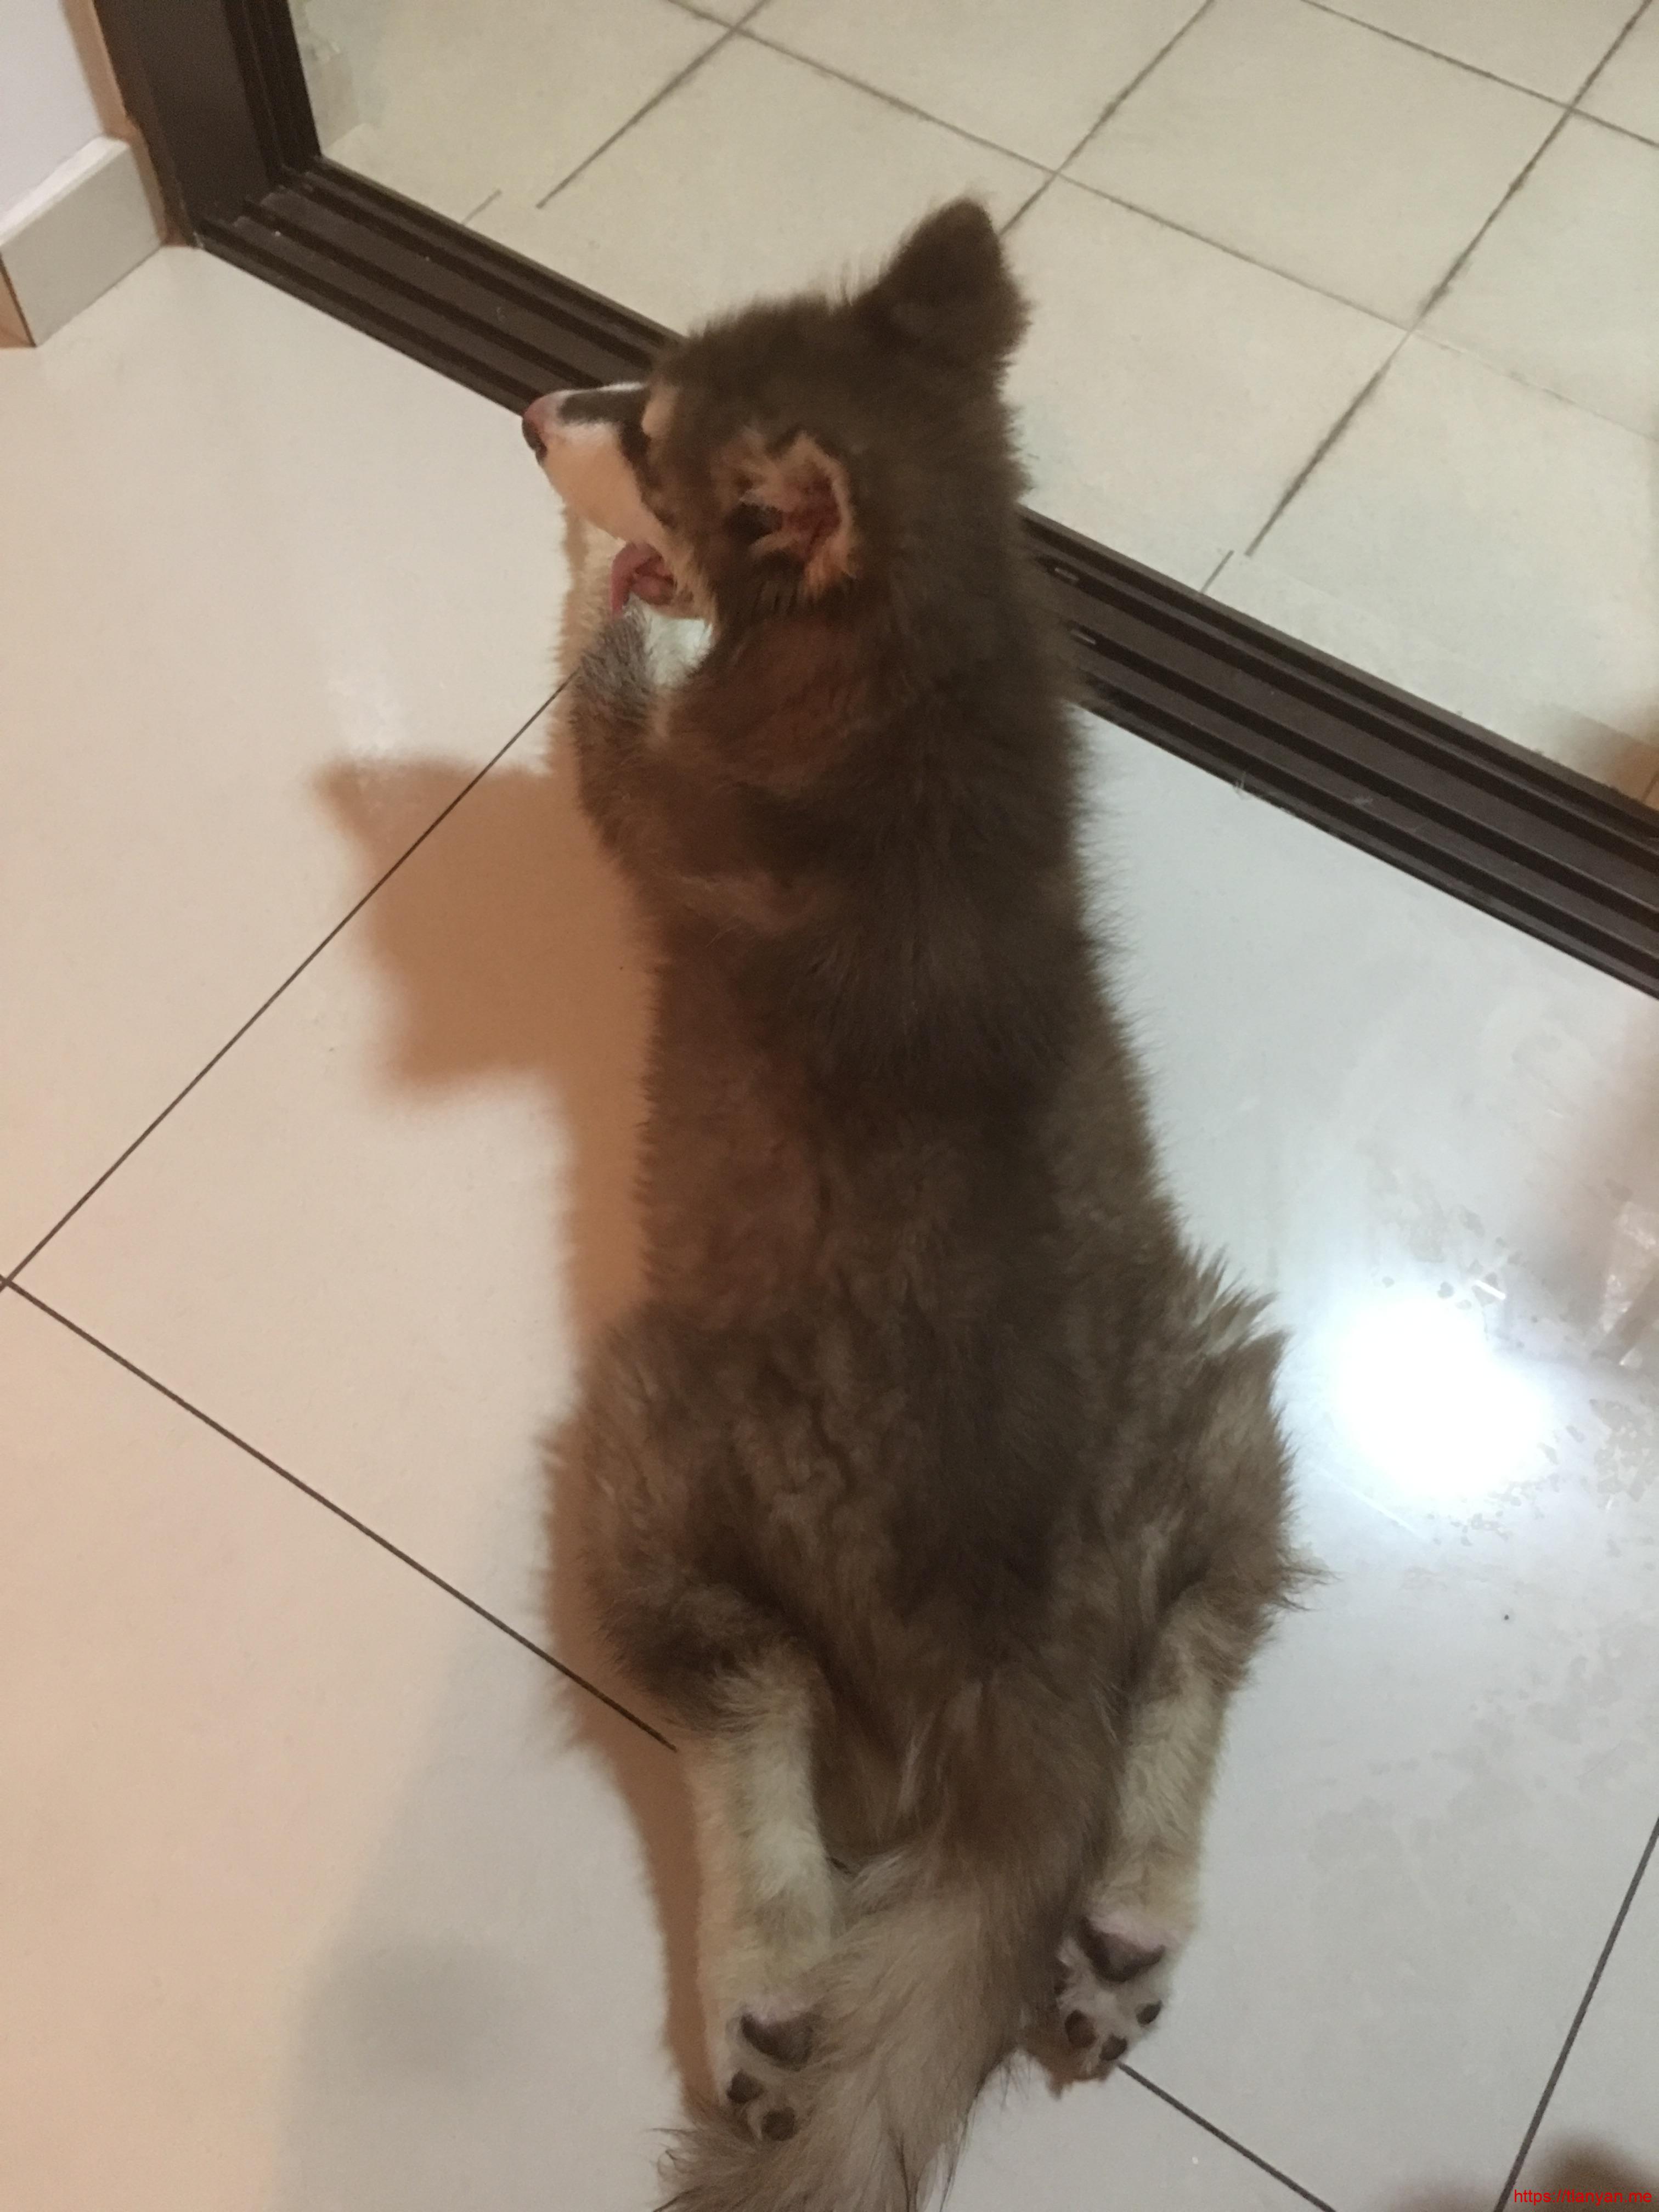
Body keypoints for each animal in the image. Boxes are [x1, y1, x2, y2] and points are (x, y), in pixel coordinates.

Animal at [522, 201, 1303, 2212]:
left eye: (652, 432)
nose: (540, 404)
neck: (923, 658)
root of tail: (1015, 1674)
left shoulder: (651, 794)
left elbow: (598, 690)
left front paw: (600, 572)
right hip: (1216, 1385)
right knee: (1204, 1631)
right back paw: (1130, 1910)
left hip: (650, 1438)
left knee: (746, 1699)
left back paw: (774, 1966)